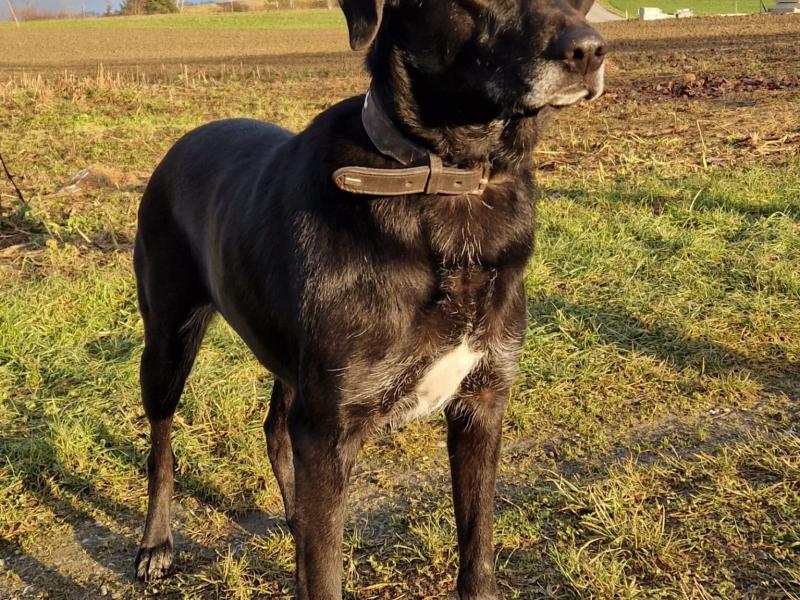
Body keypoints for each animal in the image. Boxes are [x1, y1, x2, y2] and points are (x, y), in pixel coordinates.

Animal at [132, 0, 605, 597]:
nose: (588, 51)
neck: (449, 180)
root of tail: (183, 142)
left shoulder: (482, 402)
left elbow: (477, 552)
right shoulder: (329, 429)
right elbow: (324, 577)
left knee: (274, 431)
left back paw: (294, 519)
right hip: (168, 343)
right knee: (161, 444)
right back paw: (156, 544)